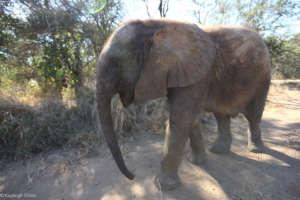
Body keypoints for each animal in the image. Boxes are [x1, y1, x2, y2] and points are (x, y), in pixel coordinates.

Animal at [96, 18, 272, 191]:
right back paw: (218, 150)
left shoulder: (195, 74)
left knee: (253, 115)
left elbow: (180, 121)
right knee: (221, 115)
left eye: (115, 63)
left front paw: (162, 186)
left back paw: (255, 149)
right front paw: (196, 162)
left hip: (263, 77)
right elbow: (190, 120)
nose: (133, 176)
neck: (156, 25)